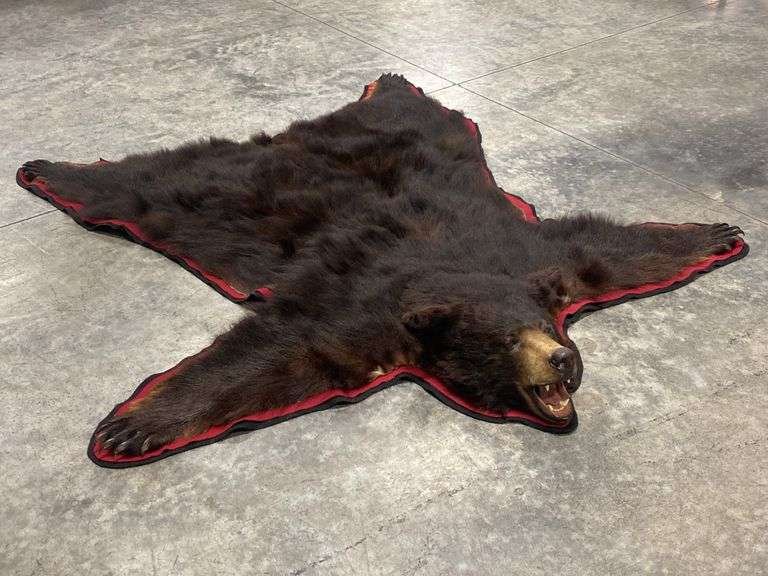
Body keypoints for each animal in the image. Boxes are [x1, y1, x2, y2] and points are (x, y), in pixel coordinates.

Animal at [18, 73, 745, 458]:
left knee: (420, 107)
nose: (564, 362)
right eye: (509, 343)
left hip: (427, 136)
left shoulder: (539, 262)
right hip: (220, 198)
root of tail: (302, 134)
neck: (456, 282)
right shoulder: (367, 316)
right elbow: (283, 352)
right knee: (150, 188)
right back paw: (48, 169)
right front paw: (133, 425)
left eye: (548, 328)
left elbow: (604, 250)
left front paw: (717, 232)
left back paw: (393, 82)